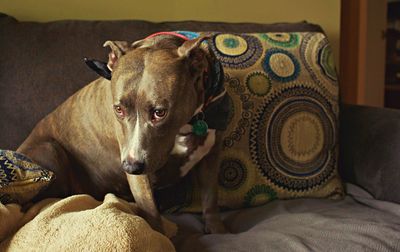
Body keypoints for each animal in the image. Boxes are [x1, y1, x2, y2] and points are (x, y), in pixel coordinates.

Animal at [18, 32, 228, 234]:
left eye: (160, 112)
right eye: (119, 109)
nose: (129, 167)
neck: (186, 125)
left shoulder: (211, 156)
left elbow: (210, 197)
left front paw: (217, 230)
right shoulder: (139, 174)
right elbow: (151, 211)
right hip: (49, 149)